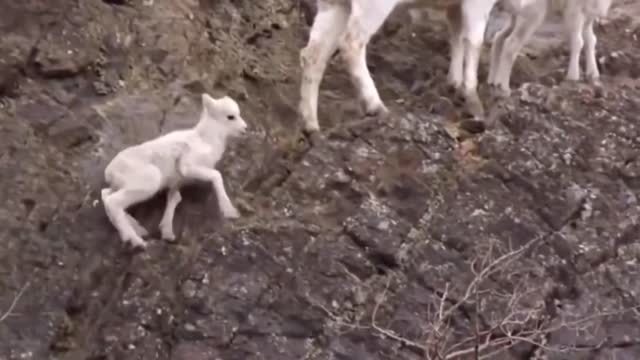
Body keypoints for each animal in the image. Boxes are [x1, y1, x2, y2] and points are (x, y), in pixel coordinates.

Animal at [101, 94, 249, 249]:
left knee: (105, 195)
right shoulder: (188, 167)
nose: (245, 128)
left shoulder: (176, 183)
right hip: (148, 182)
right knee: (113, 202)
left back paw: (138, 230)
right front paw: (230, 212)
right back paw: (136, 241)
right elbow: (217, 175)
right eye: (230, 116)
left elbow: (174, 199)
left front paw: (167, 233)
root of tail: (109, 171)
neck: (206, 140)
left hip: (122, 186)